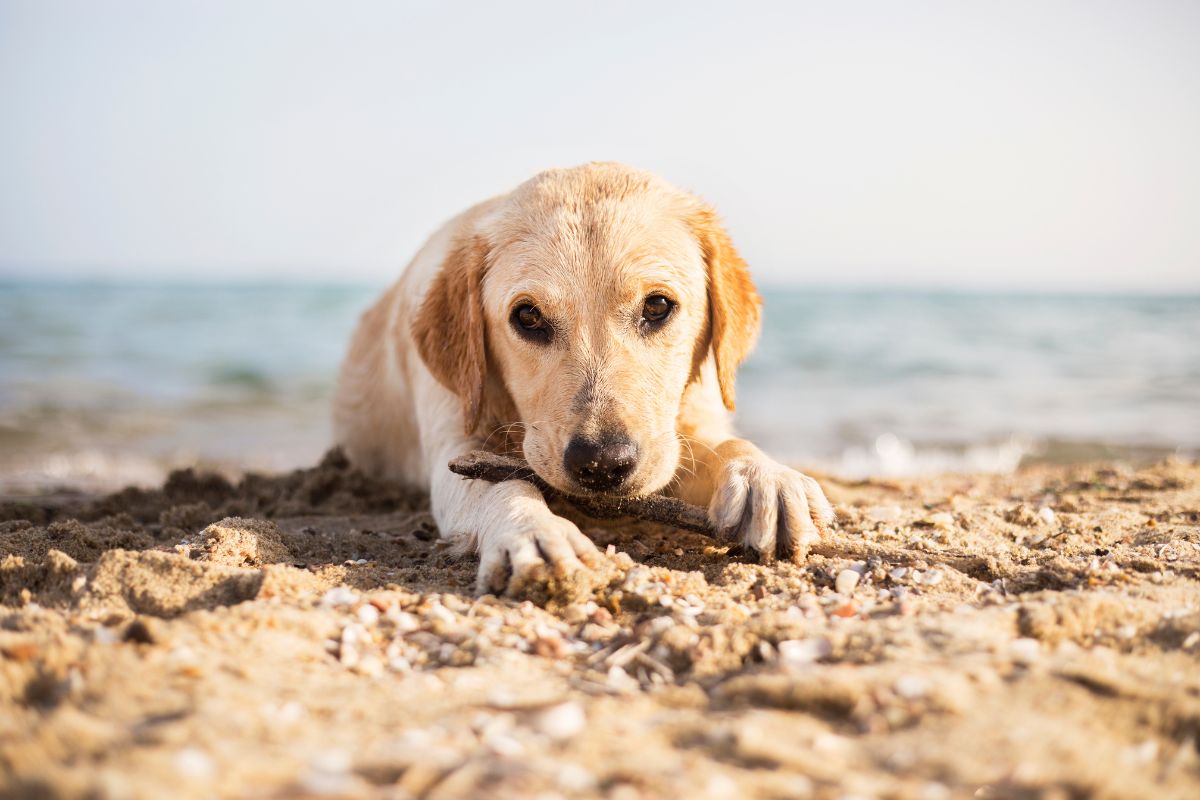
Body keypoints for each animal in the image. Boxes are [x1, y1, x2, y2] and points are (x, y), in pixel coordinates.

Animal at [333, 160, 830, 594]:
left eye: (657, 306)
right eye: (528, 316)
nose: (602, 464)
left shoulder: (691, 421)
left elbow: (726, 444)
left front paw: (765, 478)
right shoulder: (453, 445)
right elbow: (501, 485)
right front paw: (533, 531)